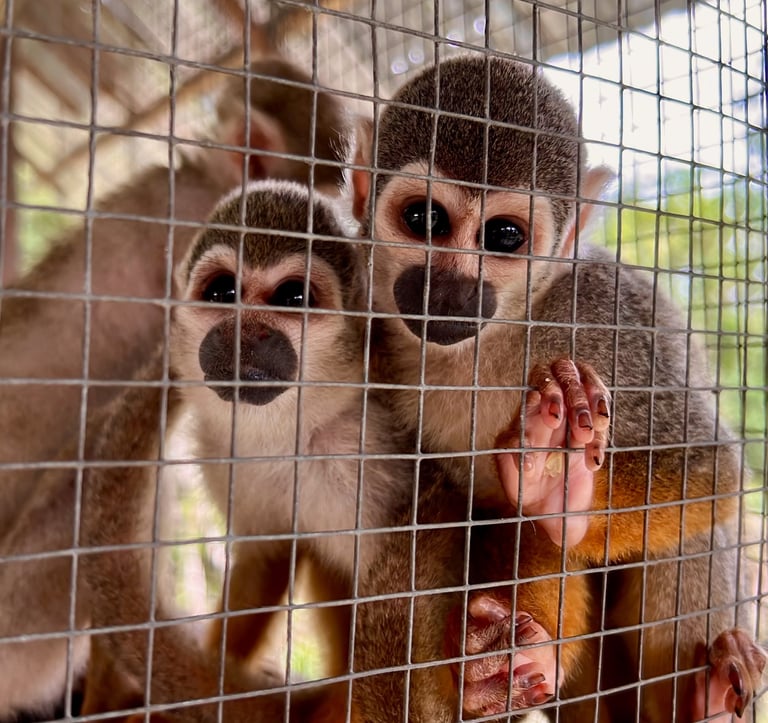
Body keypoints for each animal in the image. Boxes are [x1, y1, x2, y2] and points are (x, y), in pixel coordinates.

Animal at [348, 53, 765, 720]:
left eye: (504, 236)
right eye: (425, 220)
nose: (451, 290)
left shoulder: (599, 314)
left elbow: (707, 467)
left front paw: (561, 497)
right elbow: (467, 512)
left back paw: (702, 701)